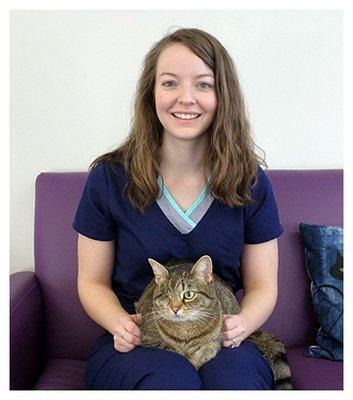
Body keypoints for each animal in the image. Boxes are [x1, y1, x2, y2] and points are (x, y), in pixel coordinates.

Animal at [135, 255, 292, 390]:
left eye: (188, 295)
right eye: (166, 296)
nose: (174, 309)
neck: (185, 330)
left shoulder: (214, 342)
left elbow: (205, 350)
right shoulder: (147, 337)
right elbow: (172, 349)